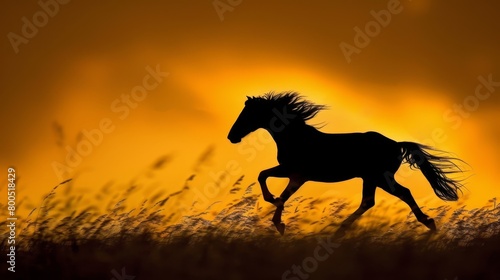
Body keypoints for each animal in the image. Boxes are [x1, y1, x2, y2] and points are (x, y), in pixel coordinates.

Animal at [228, 91, 464, 235]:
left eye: (248, 113)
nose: (231, 136)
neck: (296, 138)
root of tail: (397, 144)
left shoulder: (296, 173)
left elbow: (268, 180)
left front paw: (276, 213)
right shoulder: (295, 174)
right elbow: (273, 184)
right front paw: (279, 220)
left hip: (380, 177)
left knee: (402, 193)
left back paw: (429, 223)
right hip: (372, 178)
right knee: (369, 201)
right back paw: (341, 229)